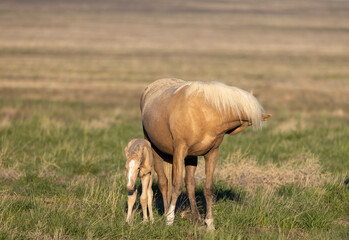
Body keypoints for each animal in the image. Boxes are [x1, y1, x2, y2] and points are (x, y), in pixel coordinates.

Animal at [140, 78, 270, 229]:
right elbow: (176, 185)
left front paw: (209, 223)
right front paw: (170, 219)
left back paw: (196, 218)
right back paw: (167, 213)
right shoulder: (179, 151)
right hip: (154, 148)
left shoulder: (211, 154)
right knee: (164, 182)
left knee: (189, 184)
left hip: (190, 157)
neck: (204, 114)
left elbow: (208, 189)